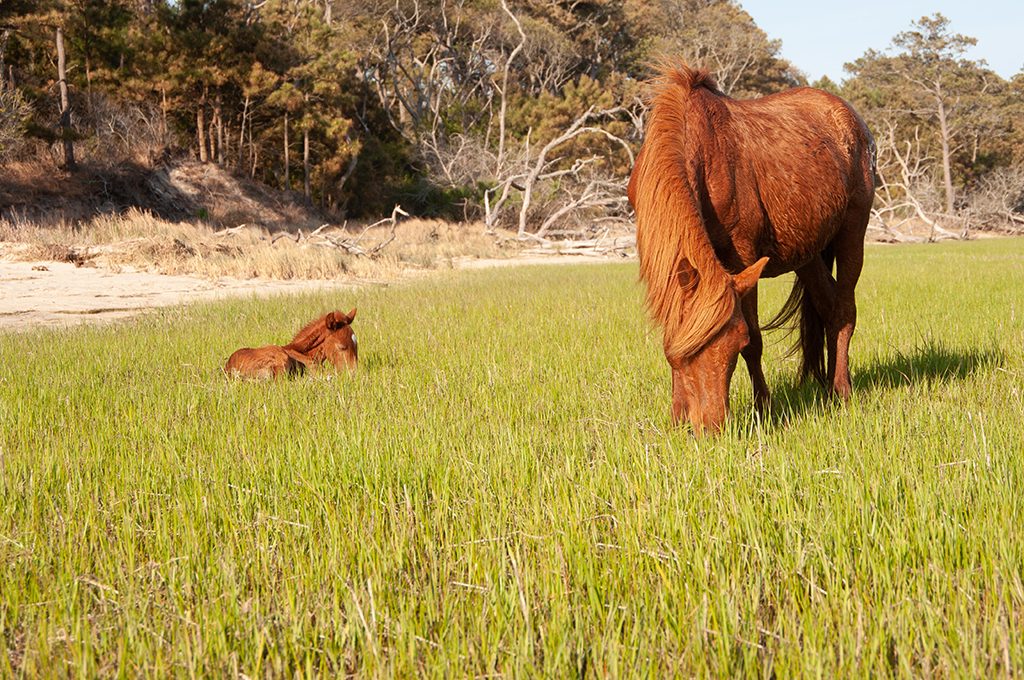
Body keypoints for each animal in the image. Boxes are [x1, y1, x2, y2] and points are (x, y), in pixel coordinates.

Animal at [626, 66, 876, 432]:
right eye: (683, 353)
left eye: (735, 344)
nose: (711, 428)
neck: (699, 149)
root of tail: (850, 118)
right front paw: (677, 417)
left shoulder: (743, 258)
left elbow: (756, 341)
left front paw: (763, 407)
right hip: (808, 255)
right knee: (828, 307)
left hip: (851, 235)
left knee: (844, 310)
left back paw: (840, 390)